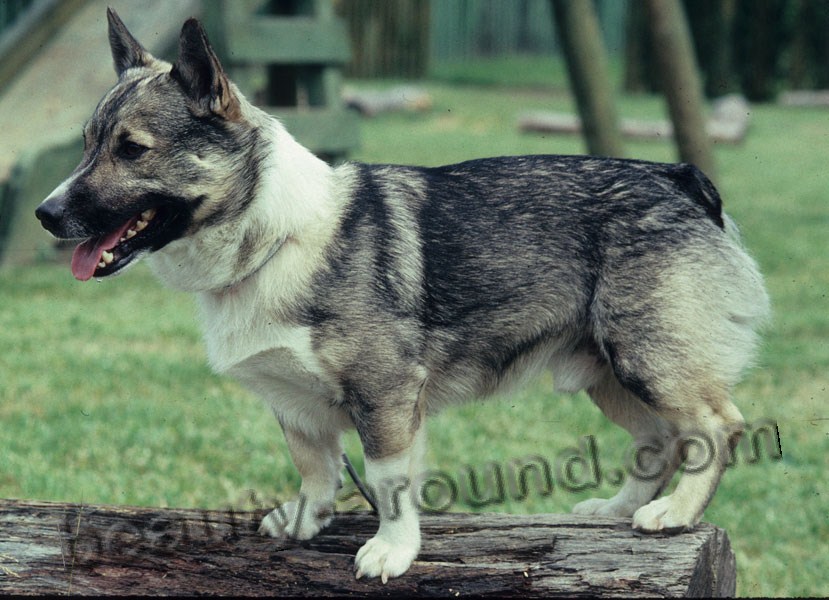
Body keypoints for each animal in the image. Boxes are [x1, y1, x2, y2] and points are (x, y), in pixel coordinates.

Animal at [34, 9, 768, 580]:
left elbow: (388, 482)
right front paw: (307, 519)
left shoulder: (384, 395)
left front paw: (391, 550)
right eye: (87, 144)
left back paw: (674, 513)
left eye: (132, 150)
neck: (273, 237)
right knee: (658, 439)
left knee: (714, 427)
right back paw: (615, 511)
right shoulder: (295, 405)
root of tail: (675, 177)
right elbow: (316, 468)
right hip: (608, 372)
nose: (45, 214)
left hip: (646, 356)